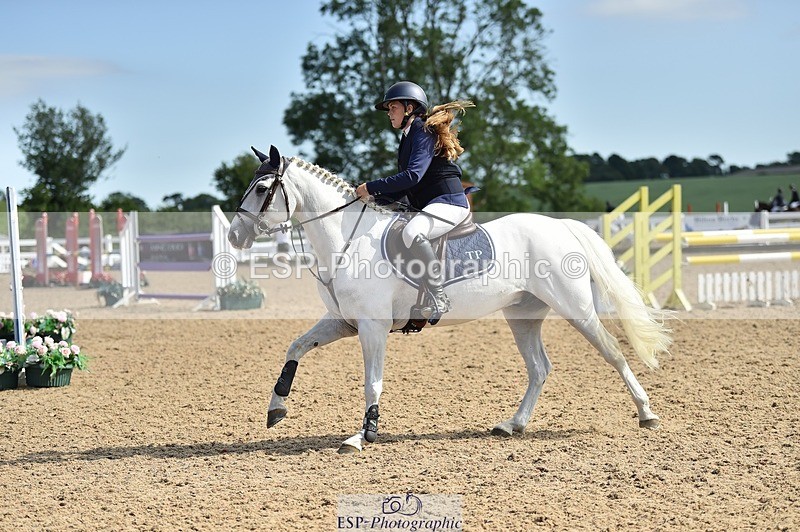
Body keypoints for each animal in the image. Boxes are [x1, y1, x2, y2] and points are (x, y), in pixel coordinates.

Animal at [228, 145, 673, 454]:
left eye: (263, 189)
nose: (234, 236)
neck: (347, 239)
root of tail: (561, 226)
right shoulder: (343, 322)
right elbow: (295, 347)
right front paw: (276, 409)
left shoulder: (373, 327)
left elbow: (373, 382)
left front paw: (362, 435)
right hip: (523, 315)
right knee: (540, 368)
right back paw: (512, 424)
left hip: (575, 309)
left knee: (613, 352)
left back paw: (647, 413)